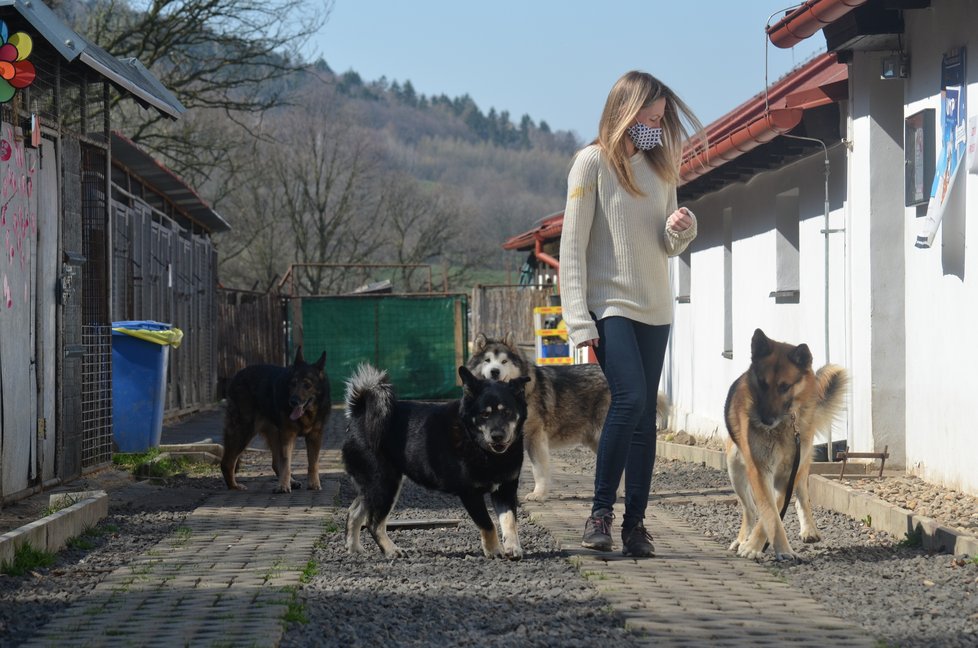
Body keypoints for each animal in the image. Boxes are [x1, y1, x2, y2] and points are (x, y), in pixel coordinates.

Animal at [468, 334, 672, 502]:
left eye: (503, 361)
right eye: (487, 360)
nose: (495, 371)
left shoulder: (534, 437)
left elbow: (538, 469)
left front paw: (538, 494)